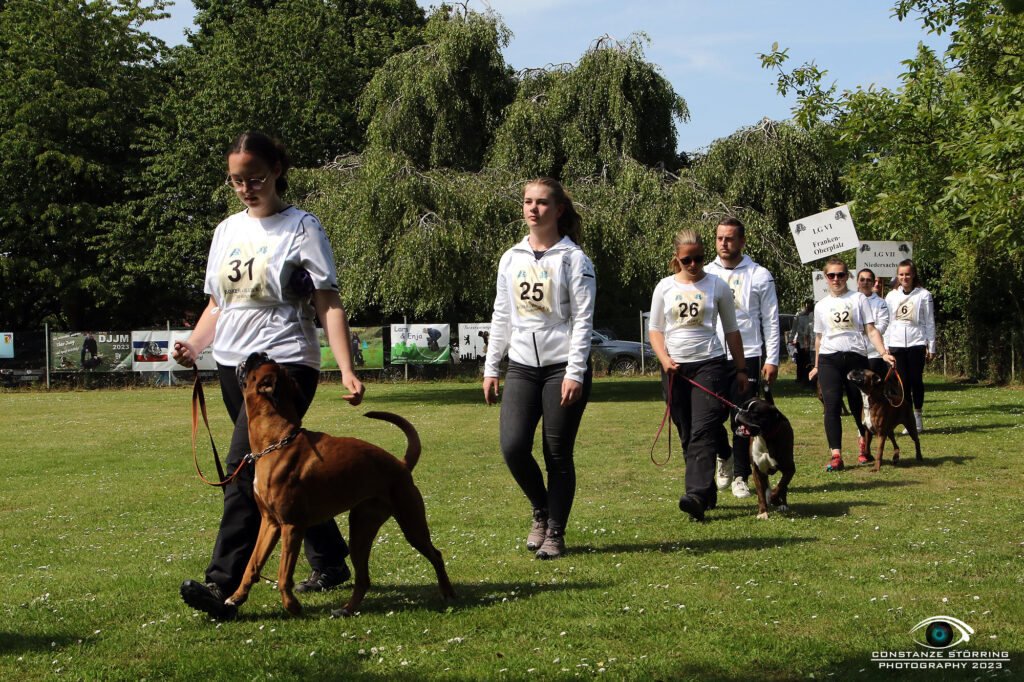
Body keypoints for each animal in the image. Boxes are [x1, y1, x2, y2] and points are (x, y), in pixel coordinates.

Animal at [226, 350, 454, 614]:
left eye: (260, 362)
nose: (259, 352)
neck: (277, 441)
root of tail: (401, 464)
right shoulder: (270, 524)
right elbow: (251, 565)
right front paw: (236, 597)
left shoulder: (292, 526)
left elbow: (284, 574)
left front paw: (292, 607)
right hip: (361, 531)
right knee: (364, 578)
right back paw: (347, 609)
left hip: (411, 525)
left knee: (436, 555)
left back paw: (447, 592)